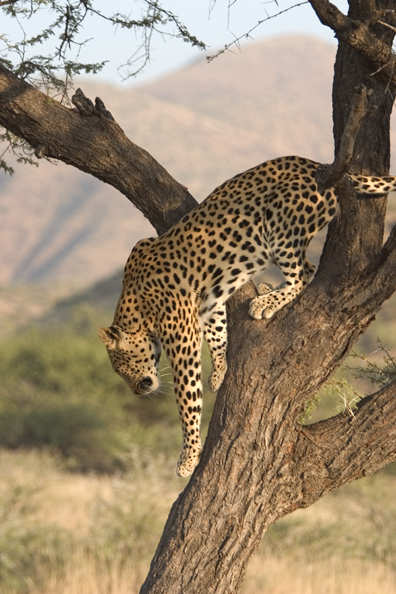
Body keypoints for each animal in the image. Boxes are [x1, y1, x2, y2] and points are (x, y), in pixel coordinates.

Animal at [97, 154, 396, 476]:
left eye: (122, 366)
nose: (138, 392)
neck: (135, 307)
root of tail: (316, 164)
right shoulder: (207, 304)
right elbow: (217, 331)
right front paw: (219, 371)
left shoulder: (183, 343)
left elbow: (187, 400)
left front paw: (188, 457)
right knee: (309, 268)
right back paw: (267, 290)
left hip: (282, 225)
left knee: (301, 275)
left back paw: (266, 301)